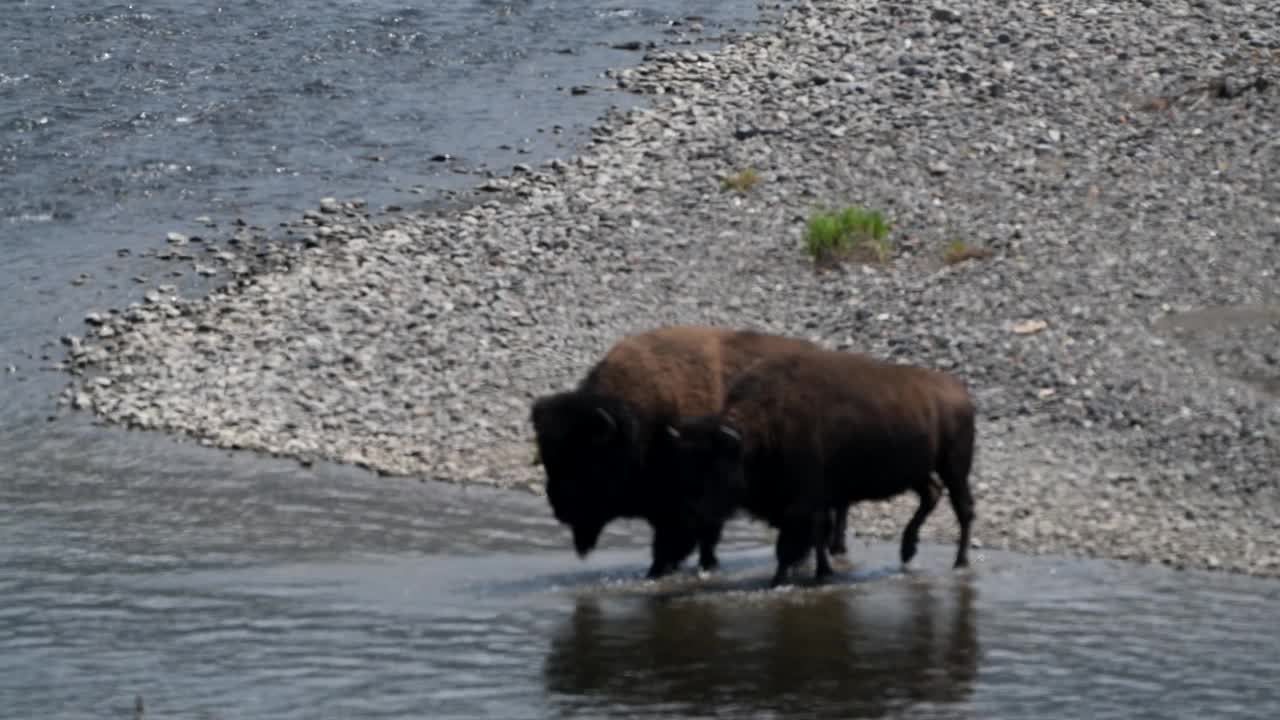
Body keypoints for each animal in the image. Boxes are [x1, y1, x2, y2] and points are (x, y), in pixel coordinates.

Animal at [527, 325, 819, 576]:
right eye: (547, 458)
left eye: (584, 459)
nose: (559, 506)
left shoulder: (685, 508)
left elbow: (678, 542)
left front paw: (663, 571)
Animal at [665, 345, 972, 586]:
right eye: (683, 465)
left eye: (714, 467)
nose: (692, 511)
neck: (763, 426)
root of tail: (960, 392)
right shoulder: (814, 501)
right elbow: (817, 535)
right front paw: (822, 572)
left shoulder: (802, 501)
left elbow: (790, 544)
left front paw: (778, 580)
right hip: (918, 472)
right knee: (931, 494)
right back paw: (908, 552)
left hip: (954, 467)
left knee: (963, 510)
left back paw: (960, 563)